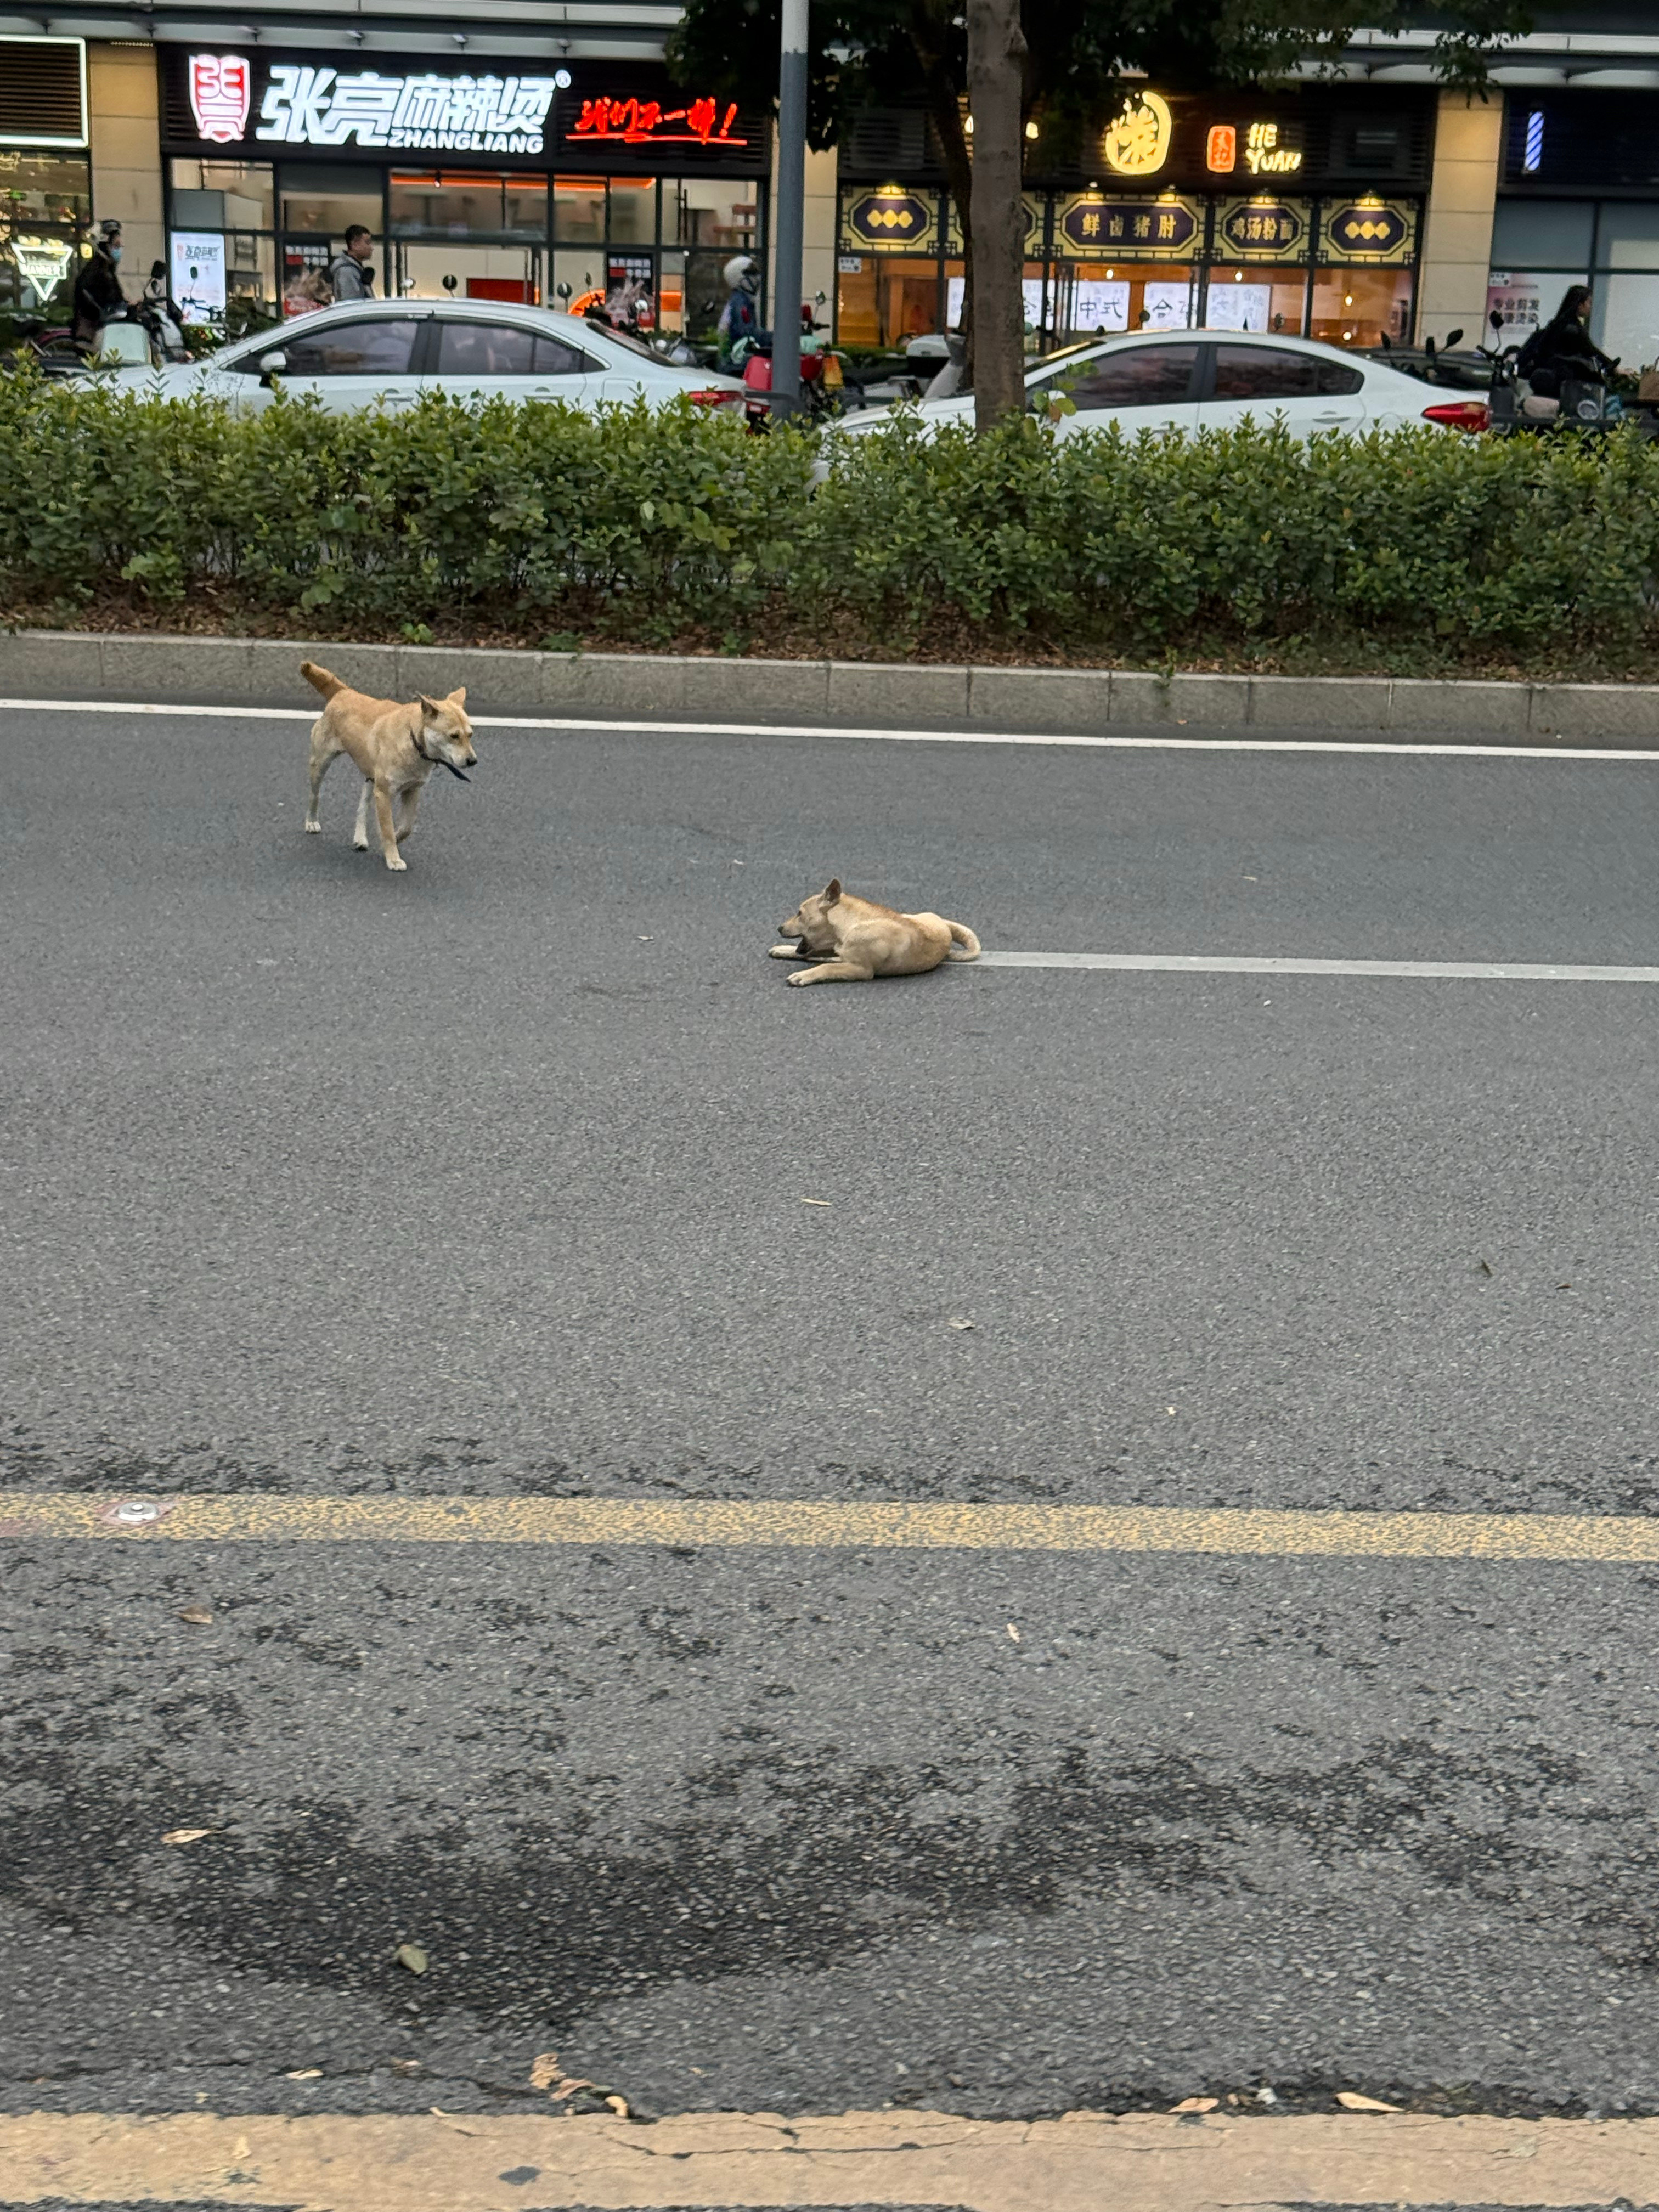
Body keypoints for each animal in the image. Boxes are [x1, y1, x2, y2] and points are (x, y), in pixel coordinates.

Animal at [298, 654, 477, 871]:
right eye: (454, 736)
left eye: (470, 735)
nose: (473, 761)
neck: (413, 740)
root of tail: (343, 692)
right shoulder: (384, 793)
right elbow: (388, 828)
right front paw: (393, 857)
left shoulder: (413, 790)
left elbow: (406, 827)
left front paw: (395, 839)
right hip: (320, 764)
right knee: (314, 795)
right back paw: (312, 822)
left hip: (371, 776)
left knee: (361, 808)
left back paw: (360, 838)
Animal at [774, 880, 982, 986]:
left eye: (800, 913)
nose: (779, 928)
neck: (852, 925)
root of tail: (942, 922)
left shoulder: (861, 970)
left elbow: (826, 968)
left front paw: (804, 975)